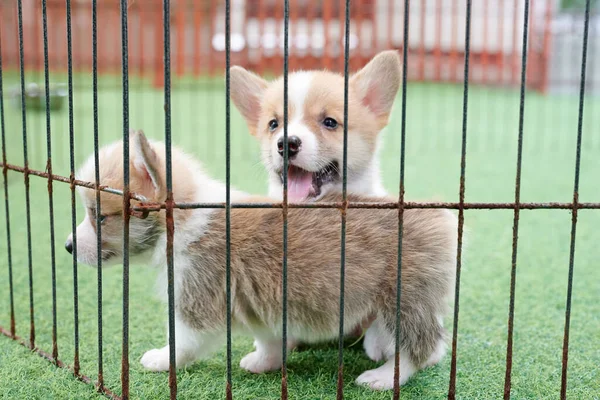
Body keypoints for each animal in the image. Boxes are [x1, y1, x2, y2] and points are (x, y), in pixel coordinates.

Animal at [65, 132, 458, 390]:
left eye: (99, 217)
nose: (68, 246)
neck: (186, 219)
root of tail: (439, 216)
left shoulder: (197, 302)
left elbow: (183, 341)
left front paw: (161, 359)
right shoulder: (265, 304)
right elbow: (270, 340)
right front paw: (263, 362)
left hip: (403, 298)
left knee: (419, 345)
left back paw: (384, 377)